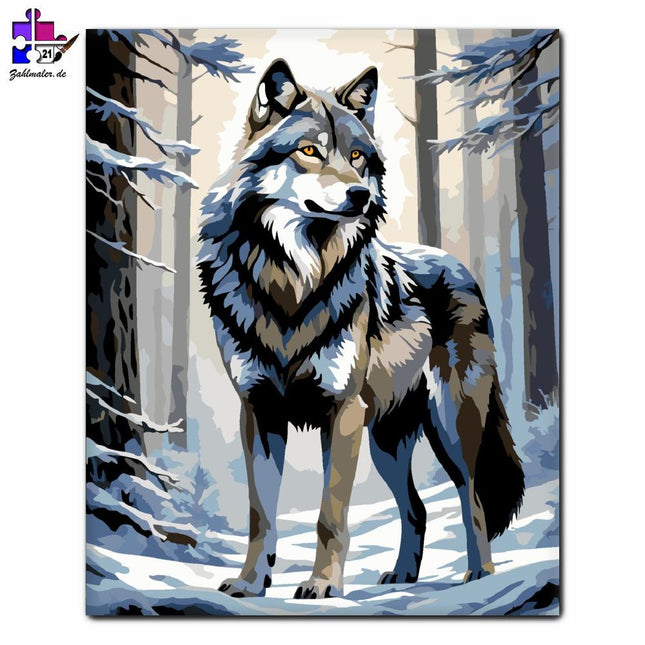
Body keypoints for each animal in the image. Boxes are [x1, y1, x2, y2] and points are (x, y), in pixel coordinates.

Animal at [197, 59, 524, 599]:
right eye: (310, 151)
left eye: (356, 157)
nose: (362, 195)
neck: (294, 281)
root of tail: (461, 266)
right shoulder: (259, 412)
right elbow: (261, 515)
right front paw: (250, 583)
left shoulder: (342, 411)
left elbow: (329, 515)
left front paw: (321, 585)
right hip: (387, 441)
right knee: (418, 509)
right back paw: (403, 575)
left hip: (450, 425)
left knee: (471, 498)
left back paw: (479, 577)